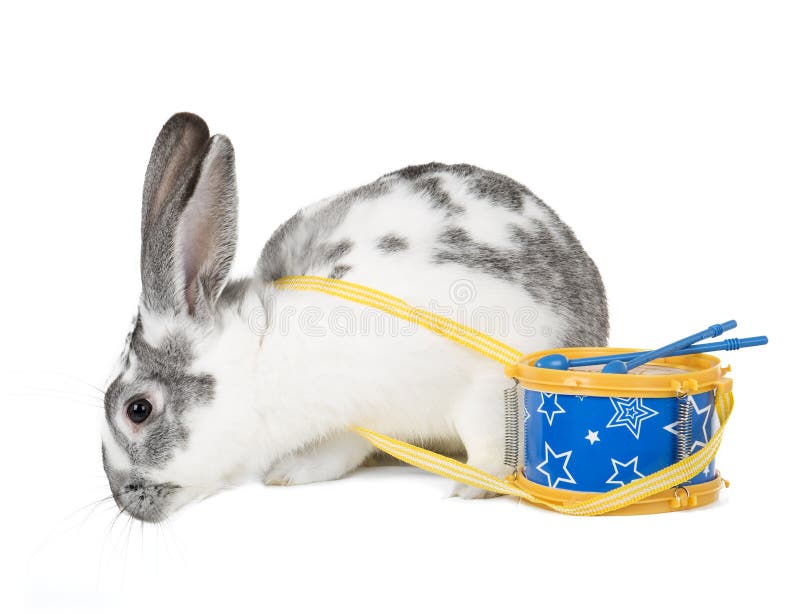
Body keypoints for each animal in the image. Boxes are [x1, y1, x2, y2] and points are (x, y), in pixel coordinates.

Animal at [102, 112, 608, 521]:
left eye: (138, 409)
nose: (127, 500)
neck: (260, 361)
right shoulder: (359, 422)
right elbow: (340, 450)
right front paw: (290, 473)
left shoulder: (482, 386)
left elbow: (492, 446)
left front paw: (471, 487)